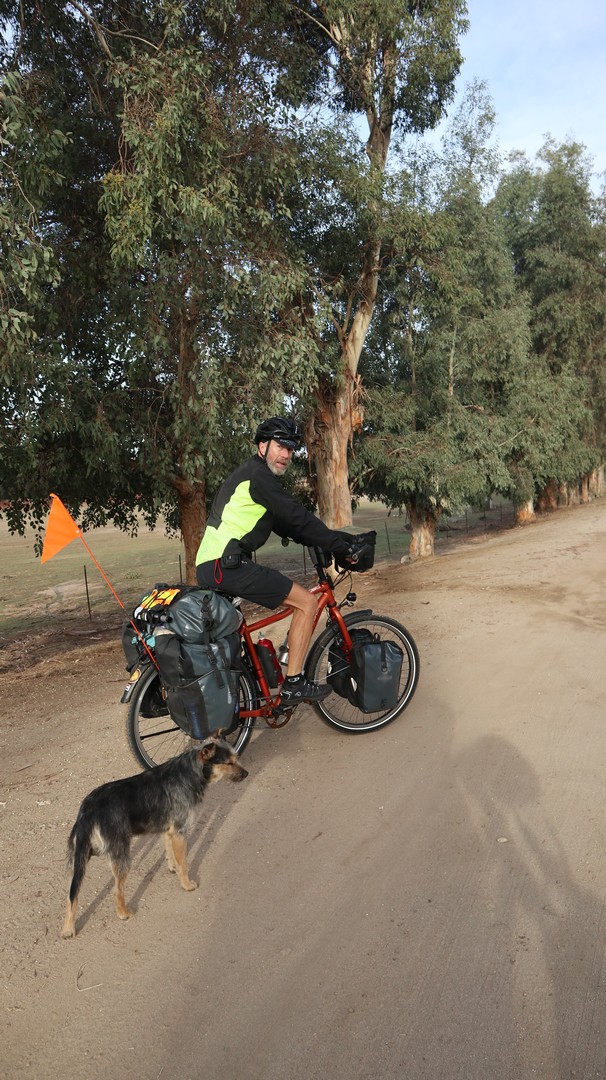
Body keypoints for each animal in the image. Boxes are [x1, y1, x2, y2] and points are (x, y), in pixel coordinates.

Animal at [61, 736, 248, 938]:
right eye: (228, 763)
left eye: (236, 758)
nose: (247, 774)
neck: (189, 772)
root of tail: (89, 808)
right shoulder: (180, 831)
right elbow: (184, 863)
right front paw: (186, 884)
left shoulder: (168, 830)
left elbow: (171, 854)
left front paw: (173, 867)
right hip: (121, 856)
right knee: (116, 891)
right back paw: (123, 913)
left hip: (77, 861)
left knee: (71, 894)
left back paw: (67, 928)